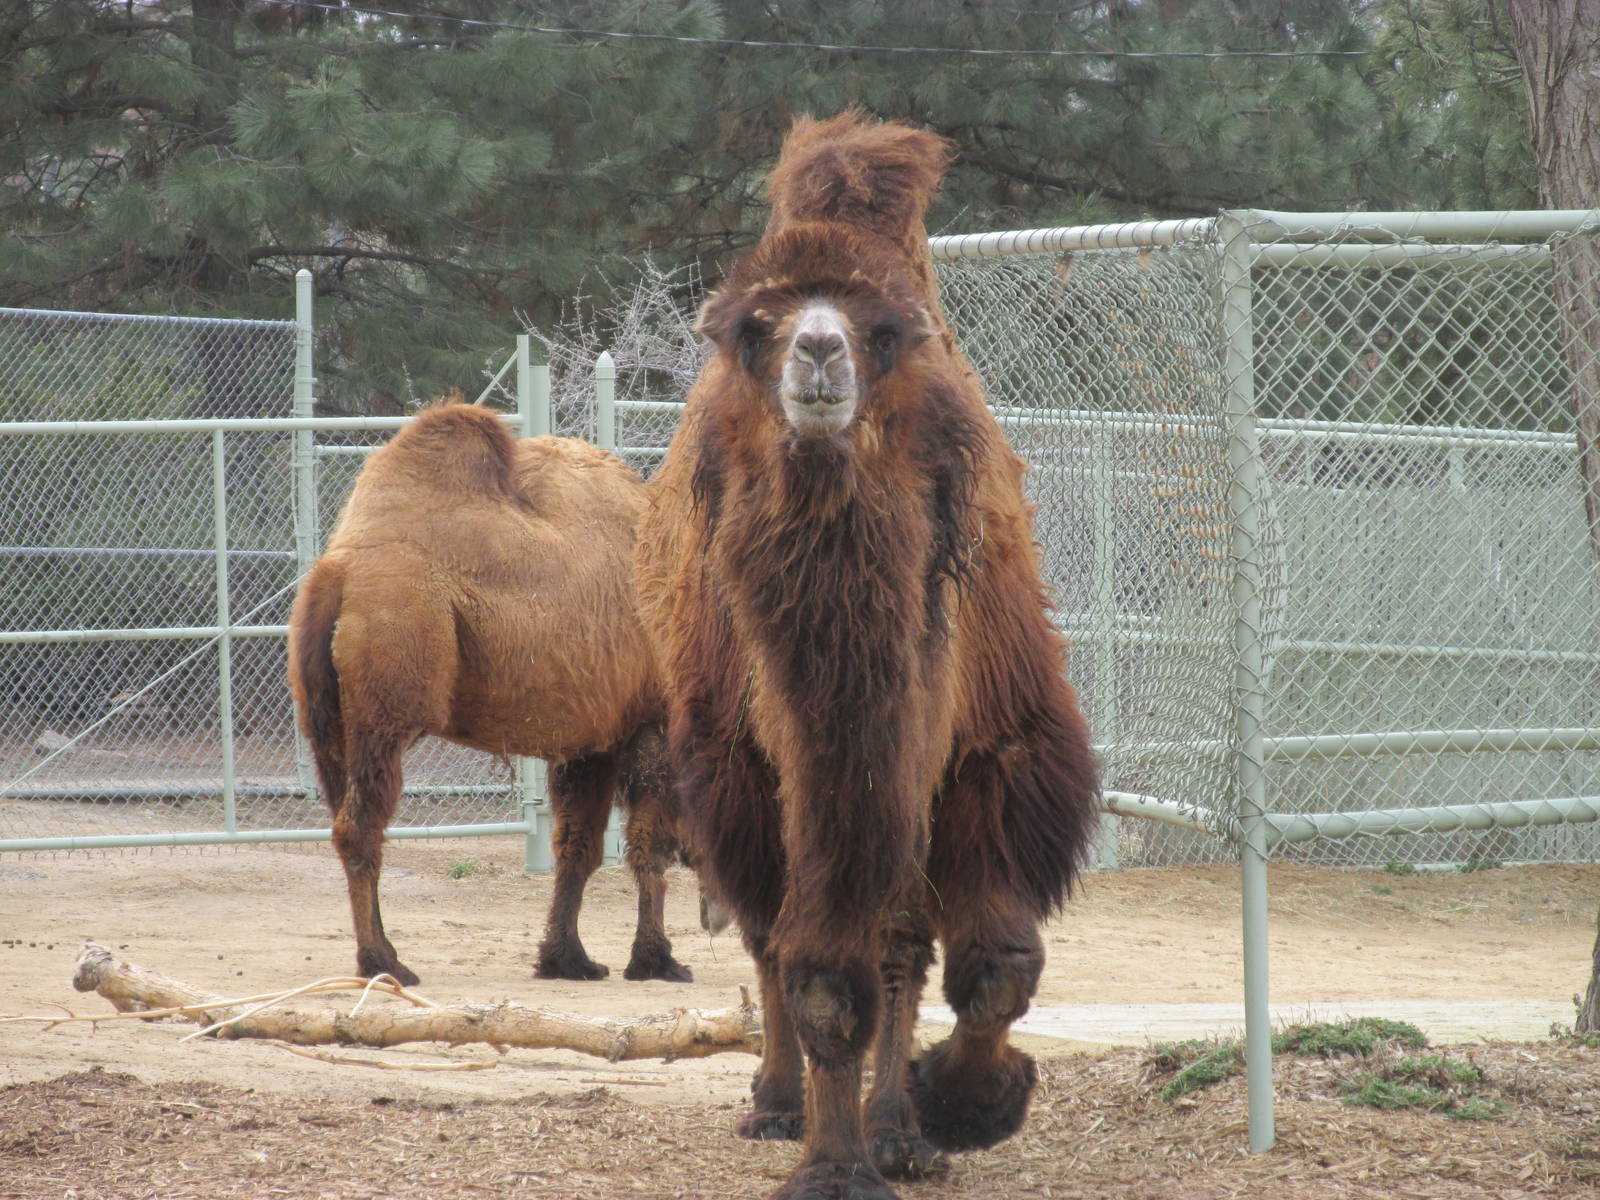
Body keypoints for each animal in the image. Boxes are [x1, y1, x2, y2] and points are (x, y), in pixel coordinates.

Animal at [289, 399, 698, 989]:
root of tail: (336, 573)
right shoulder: (654, 719)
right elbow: (650, 844)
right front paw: (657, 960)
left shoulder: (594, 740)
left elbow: (577, 846)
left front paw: (566, 958)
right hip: (389, 681)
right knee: (360, 825)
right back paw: (384, 963)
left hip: (324, 715)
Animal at [635, 113, 1101, 1200]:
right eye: (750, 328)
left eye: (885, 333)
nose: (817, 350)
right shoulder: (781, 764)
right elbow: (819, 975)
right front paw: (835, 1163)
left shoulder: (990, 749)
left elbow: (994, 963)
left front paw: (959, 1107)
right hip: (733, 767)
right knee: (770, 937)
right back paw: (777, 1104)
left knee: (898, 942)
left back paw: (899, 1127)